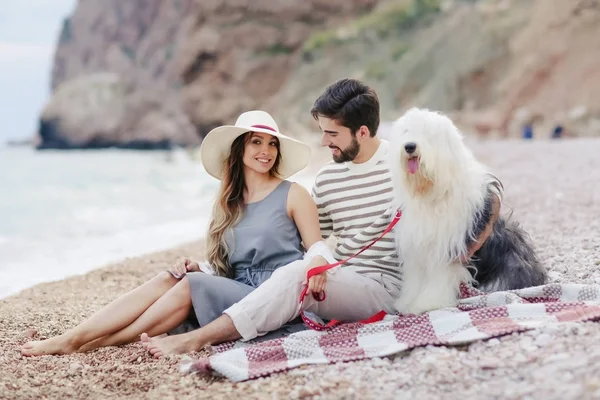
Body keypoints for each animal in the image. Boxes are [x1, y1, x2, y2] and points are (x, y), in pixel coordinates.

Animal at [390, 108, 548, 314]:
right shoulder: (417, 249)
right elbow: (415, 279)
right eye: (406, 131)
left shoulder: (448, 249)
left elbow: (438, 279)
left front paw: (428, 304)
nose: (409, 146)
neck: (431, 193)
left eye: (429, 134)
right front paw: (407, 303)